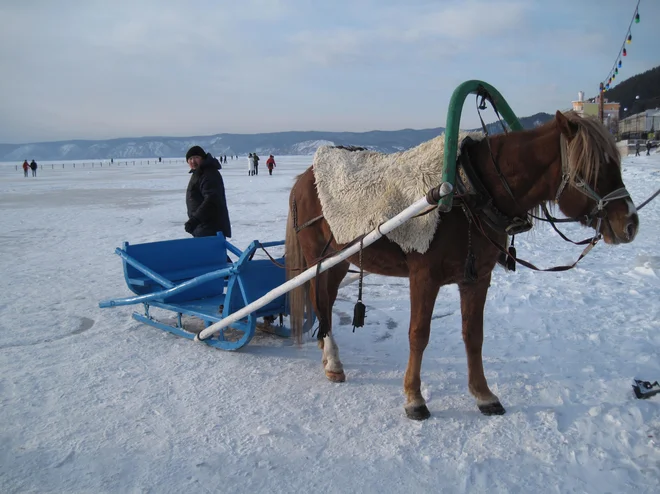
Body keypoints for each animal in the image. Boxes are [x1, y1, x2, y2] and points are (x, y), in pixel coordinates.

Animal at [284, 112, 640, 420]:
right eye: (594, 167)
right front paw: (414, 397)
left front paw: (483, 394)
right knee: (321, 301)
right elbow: (419, 334)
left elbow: (474, 335)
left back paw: (326, 349)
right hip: (321, 259)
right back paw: (332, 359)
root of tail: (303, 177)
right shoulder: (423, 276)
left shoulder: (477, 277)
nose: (630, 224)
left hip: (339, 261)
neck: (471, 189)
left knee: (325, 303)